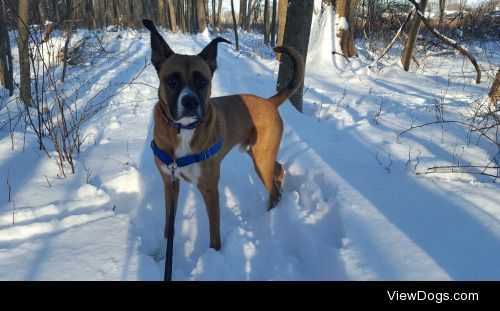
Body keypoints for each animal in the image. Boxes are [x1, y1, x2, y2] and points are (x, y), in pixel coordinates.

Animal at [143, 19, 302, 252]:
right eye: (171, 81)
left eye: (203, 81)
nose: (190, 102)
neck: (184, 130)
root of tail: (269, 102)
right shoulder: (169, 182)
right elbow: (168, 225)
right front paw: (162, 252)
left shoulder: (210, 190)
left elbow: (214, 235)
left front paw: (214, 255)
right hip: (258, 154)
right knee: (279, 170)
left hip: (261, 160)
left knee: (273, 191)